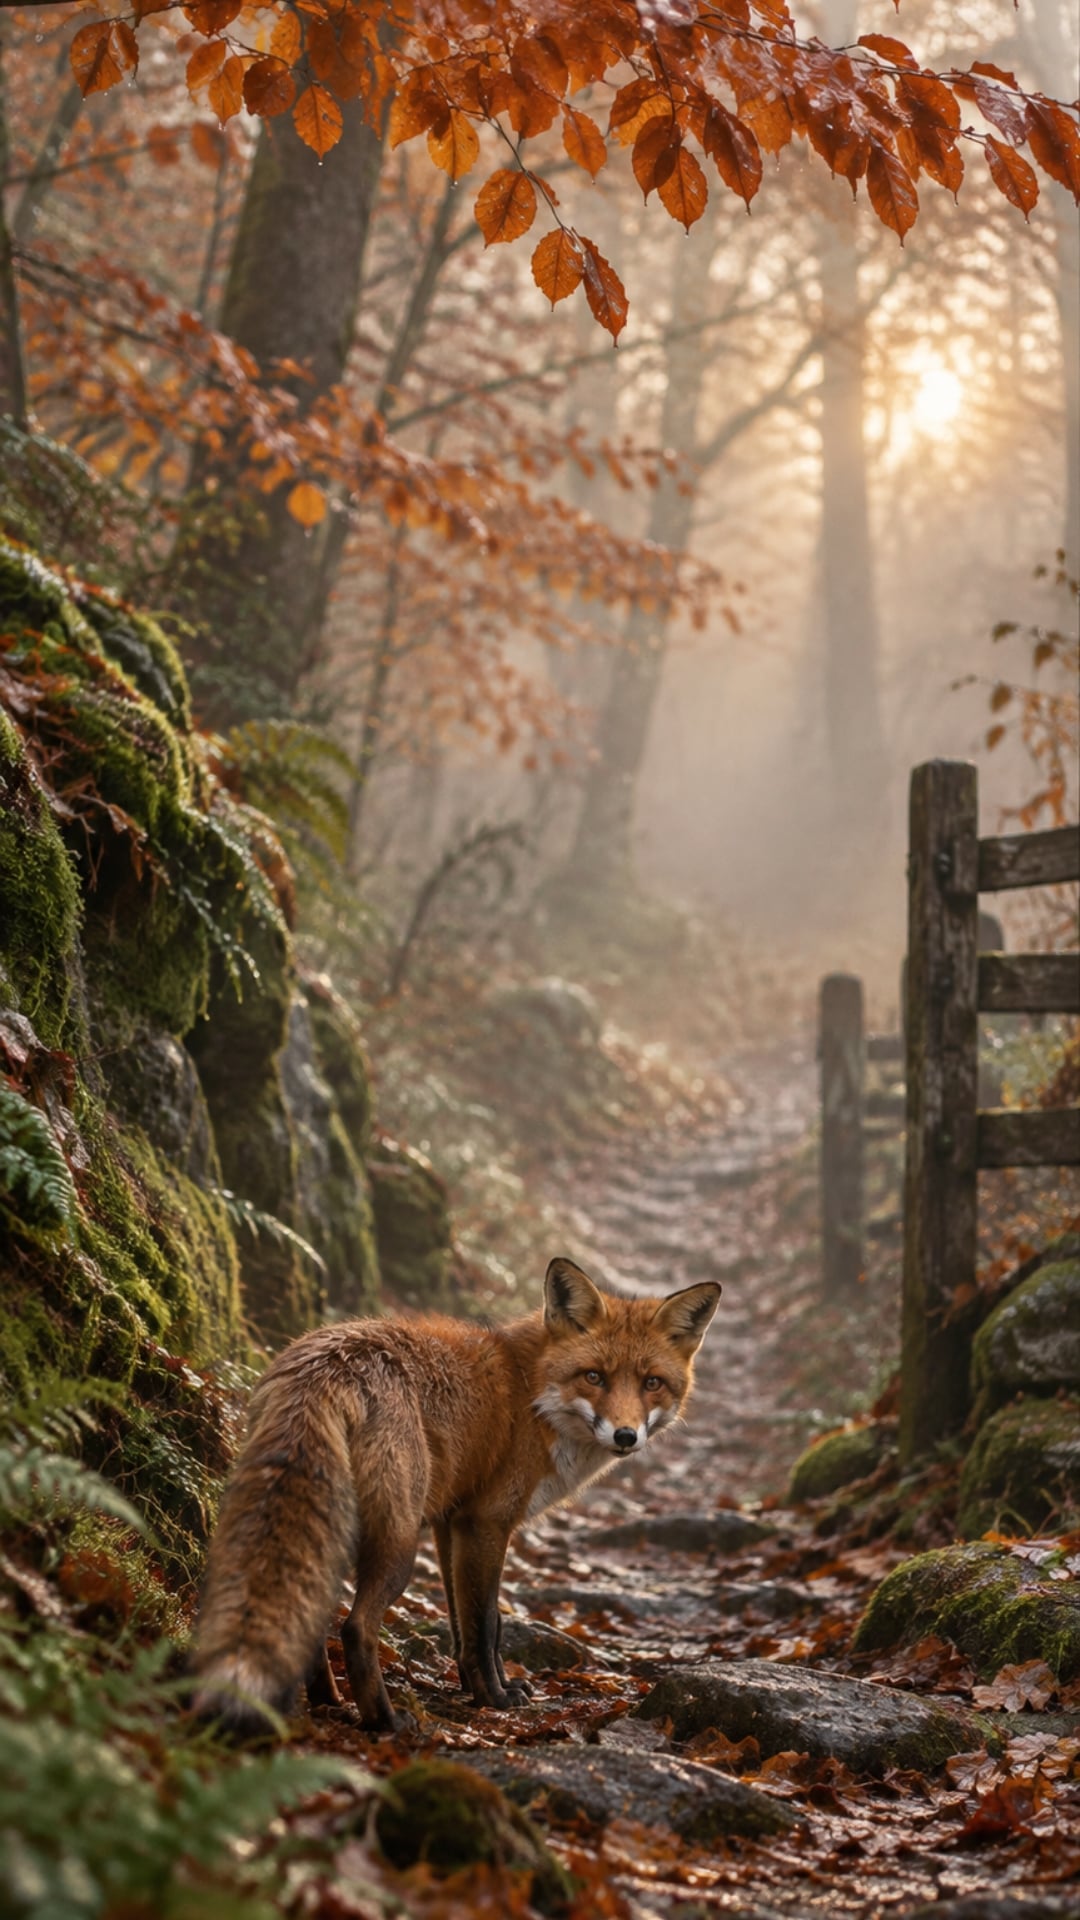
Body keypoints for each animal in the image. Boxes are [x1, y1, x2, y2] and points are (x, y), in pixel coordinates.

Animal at [190, 1256, 720, 1737]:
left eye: (652, 1383)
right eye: (594, 1376)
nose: (626, 1436)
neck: (532, 1395)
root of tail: (328, 1362)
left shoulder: (451, 1522)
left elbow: (469, 1622)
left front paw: (480, 1686)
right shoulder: (486, 1521)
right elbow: (485, 1624)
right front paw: (495, 1698)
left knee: (314, 1619)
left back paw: (326, 1700)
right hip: (399, 1541)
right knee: (356, 1627)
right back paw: (384, 1720)